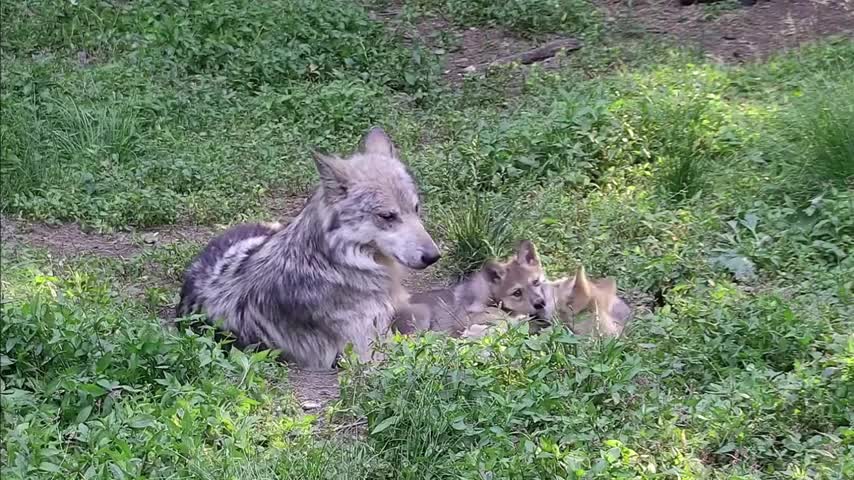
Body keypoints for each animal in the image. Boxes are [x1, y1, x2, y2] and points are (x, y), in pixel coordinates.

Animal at [394, 240, 548, 338]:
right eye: (517, 293)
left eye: (536, 282)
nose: (540, 303)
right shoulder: (464, 318)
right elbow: (499, 318)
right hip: (422, 315)